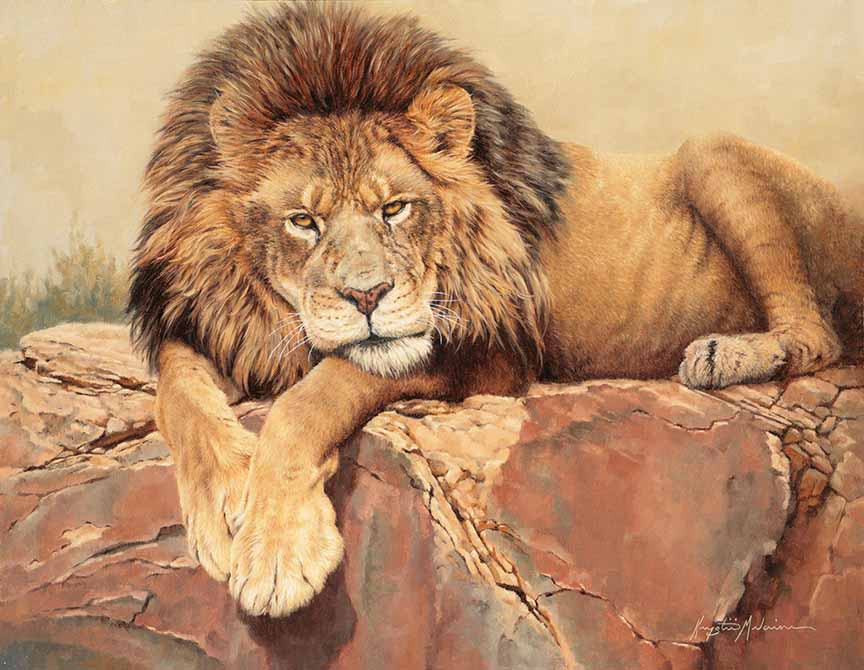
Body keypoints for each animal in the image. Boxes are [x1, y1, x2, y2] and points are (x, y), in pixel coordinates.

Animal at [128, 4, 863, 618]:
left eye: (395, 208)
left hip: (713, 154)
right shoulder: (222, 329)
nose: (367, 296)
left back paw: (724, 353)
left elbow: (317, 395)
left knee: (818, 338)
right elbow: (179, 388)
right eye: (302, 222)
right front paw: (226, 505)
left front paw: (277, 557)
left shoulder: (492, 353)